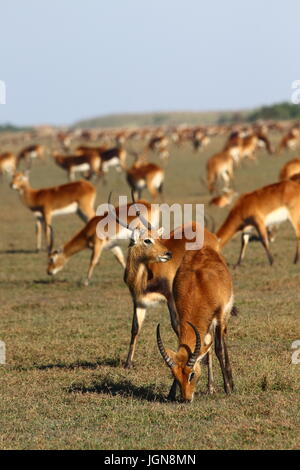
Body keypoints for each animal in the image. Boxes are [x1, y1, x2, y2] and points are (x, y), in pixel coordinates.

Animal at [157, 244, 234, 402]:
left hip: (223, 318)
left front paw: (228, 389)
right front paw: (171, 393)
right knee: (208, 348)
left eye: (192, 374)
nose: (186, 399)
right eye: (175, 375)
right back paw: (210, 388)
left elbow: (219, 349)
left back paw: (230, 383)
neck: (197, 290)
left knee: (222, 341)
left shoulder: (219, 316)